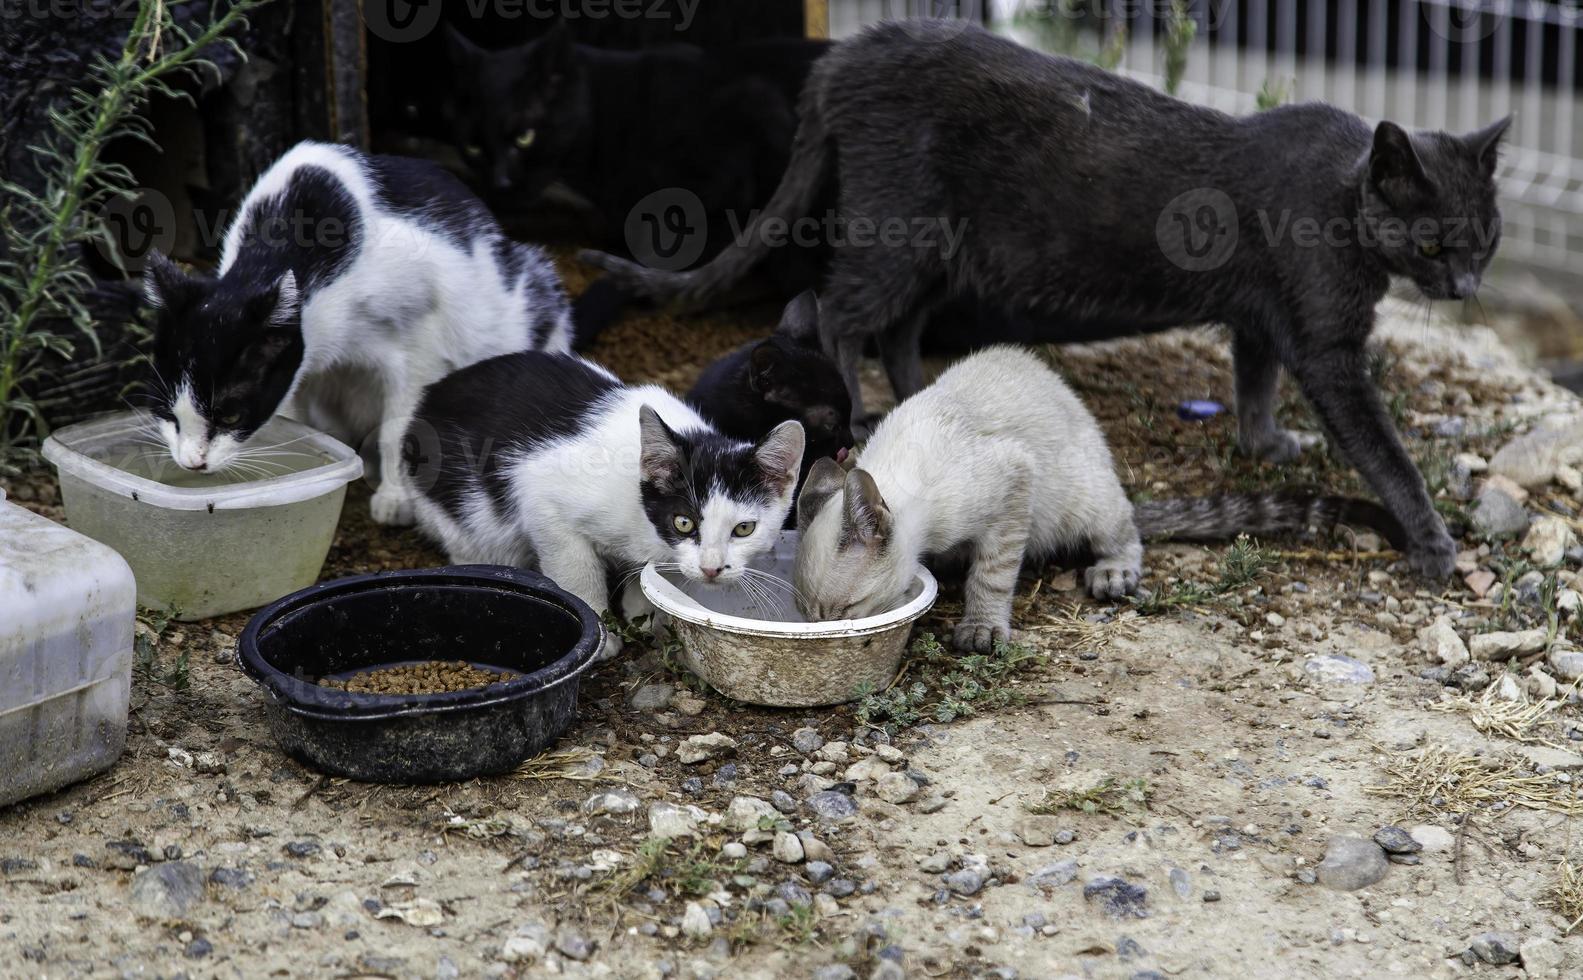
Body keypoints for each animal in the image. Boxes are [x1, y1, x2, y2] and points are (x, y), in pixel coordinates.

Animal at [142, 140, 576, 525]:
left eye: (230, 414)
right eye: (167, 412)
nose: (192, 462)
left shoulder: (420, 347)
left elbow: (398, 429)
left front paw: (395, 498)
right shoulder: (298, 373)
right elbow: (294, 418)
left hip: (529, 295)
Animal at [402, 348, 810, 649]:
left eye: (744, 529)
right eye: (684, 522)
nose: (711, 569)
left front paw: (642, 610)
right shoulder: (542, 498)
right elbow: (576, 571)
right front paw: (600, 633)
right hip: (471, 518)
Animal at [582, 19, 1507, 579]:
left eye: (1487, 236)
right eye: (1434, 241)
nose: (1465, 286)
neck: (1341, 200)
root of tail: (846, 54)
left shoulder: (1262, 318)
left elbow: (1253, 375)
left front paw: (1264, 440)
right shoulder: (1327, 345)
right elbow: (1382, 449)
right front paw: (1430, 542)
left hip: (937, 250)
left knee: (900, 327)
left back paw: (918, 393)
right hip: (896, 231)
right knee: (844, 313)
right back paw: (860, 409)